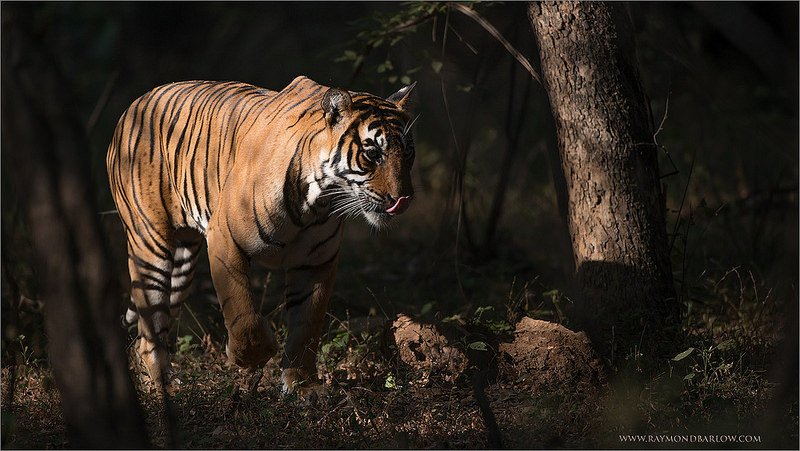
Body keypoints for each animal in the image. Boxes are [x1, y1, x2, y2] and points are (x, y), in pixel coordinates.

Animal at [106, 76, 416, 394]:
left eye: (407, 152)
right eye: (372, 153)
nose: (403, 199)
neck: (318, 200)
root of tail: (135, 104)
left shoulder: (316, 263)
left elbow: (307, 327)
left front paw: (301, 385)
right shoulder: (224, 238)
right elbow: (241, 311)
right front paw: (254, 355)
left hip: (183, 262)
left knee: (150, 330)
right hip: (151, 244)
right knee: (149, 324)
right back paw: (164, 385)